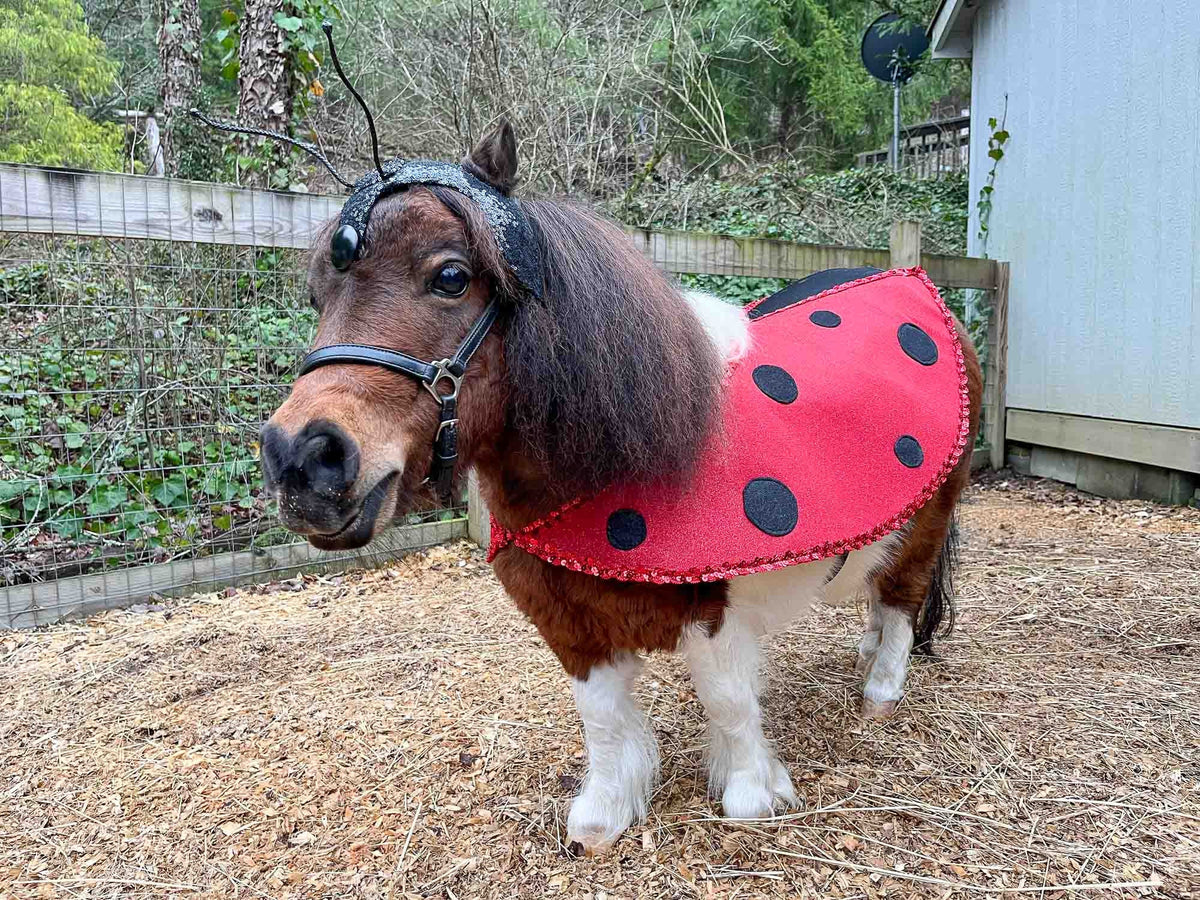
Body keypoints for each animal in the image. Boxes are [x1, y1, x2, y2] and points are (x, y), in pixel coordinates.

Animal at [259, 121, 984, 856]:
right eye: (318, 296)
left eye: (451, 277)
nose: (302, 460)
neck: (627, 456)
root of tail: (919, 284)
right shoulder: (567, 623)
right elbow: (602, 717)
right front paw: (603, 816)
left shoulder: (713, 610)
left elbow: (727, 699)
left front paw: (751, 794)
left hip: (932, 514)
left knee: (903, 595)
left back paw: (880, 692)